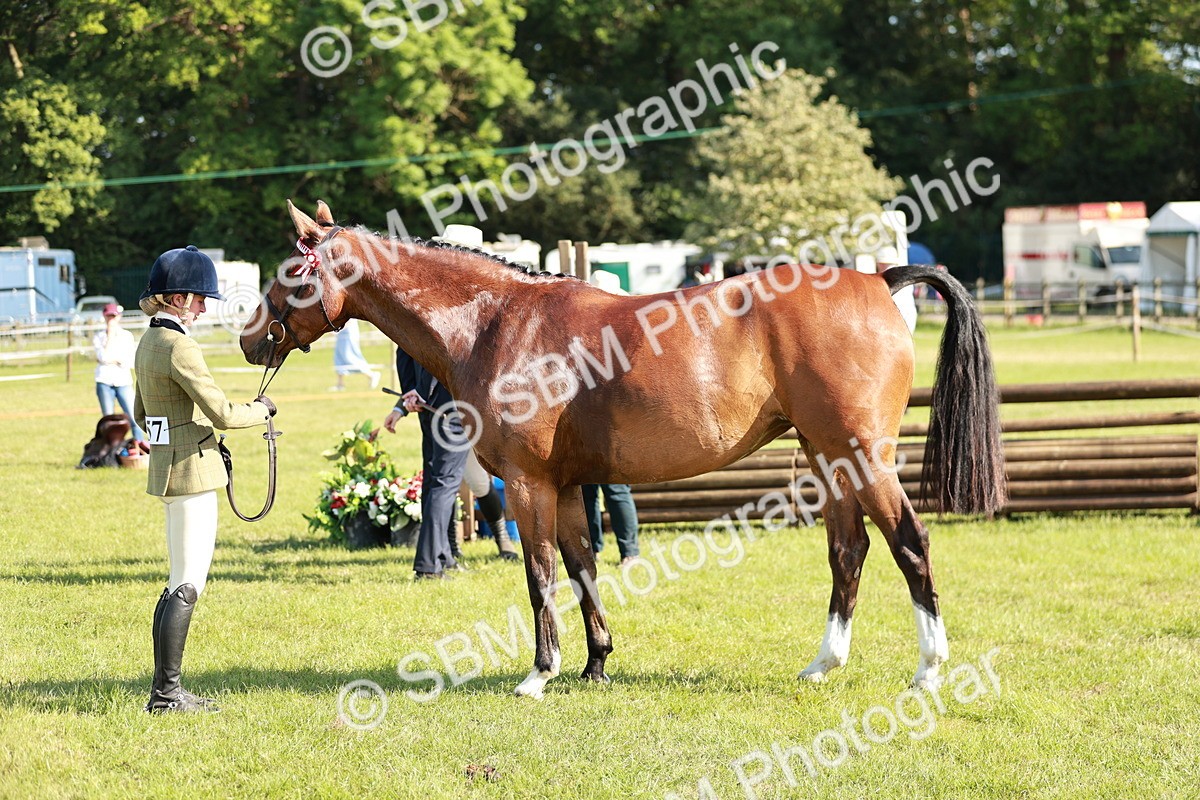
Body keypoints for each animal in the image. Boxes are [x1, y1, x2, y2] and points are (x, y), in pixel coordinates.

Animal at [240, 200, 1005, 697]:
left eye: (289, 272)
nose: (249, 339)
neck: (496, 323)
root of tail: (878, 278)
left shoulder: (529, 486)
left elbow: (541, 574)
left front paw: (538, 674)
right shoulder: (568, 486)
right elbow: (583, 571)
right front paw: (595, 665)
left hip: (863, 456)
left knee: (909, 542)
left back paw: (928, 670)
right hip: (828, 458)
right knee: (849, 550)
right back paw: (823, 665)